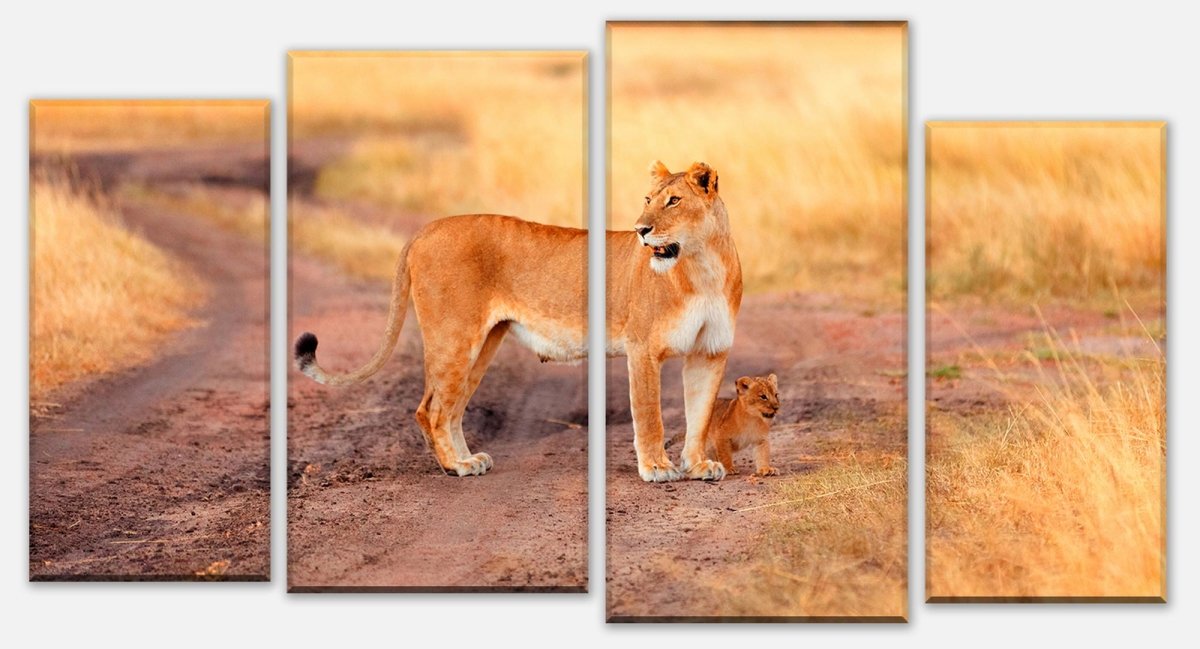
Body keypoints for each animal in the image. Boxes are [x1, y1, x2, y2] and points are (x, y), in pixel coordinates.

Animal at [294, 160, 740, 483]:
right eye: (648, 199)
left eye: (674, 201)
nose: (640, 229)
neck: (702, 266)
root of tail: (425, 230)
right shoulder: (643, 348)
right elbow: (650, 416)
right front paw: (658, 469)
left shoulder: (710, 352)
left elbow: (699, 416)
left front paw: (698, 466)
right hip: (454, 337)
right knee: (432, 410)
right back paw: (456, 467)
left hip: (483, 344)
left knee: (449, 409)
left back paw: (466, 460)